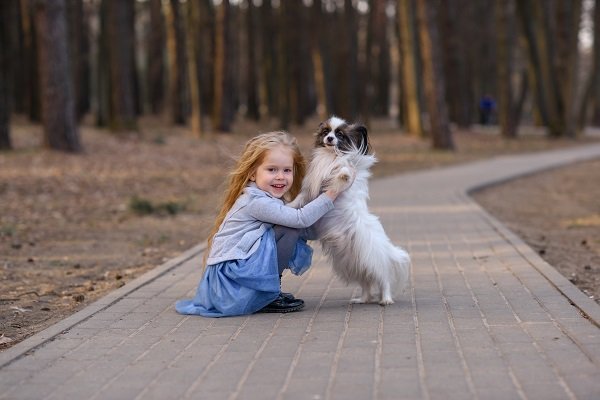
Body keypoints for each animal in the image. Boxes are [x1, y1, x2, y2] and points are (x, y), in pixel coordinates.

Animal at [288, 117, 410, 304]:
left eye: (339, 134)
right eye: (326, 132)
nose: (330, 138)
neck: (331, 156)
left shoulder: (346, 168)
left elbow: (344, 169)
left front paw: (343, 175)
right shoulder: (309, 193)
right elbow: (299, 200)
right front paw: (288, 206)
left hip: (371, 259)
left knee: (383, 279)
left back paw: (386, 299)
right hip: (353, 264)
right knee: (366, 282)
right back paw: (362, 299)